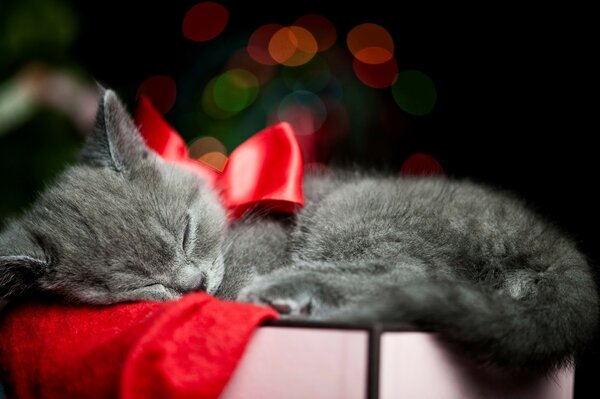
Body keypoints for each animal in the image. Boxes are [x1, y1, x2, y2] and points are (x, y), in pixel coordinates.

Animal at [0, 90, 596, 376]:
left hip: (353, 213)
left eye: (187, 231)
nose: (193, 283)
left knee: (411, 272)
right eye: (143, 285)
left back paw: (289, 289)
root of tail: (554, 245)